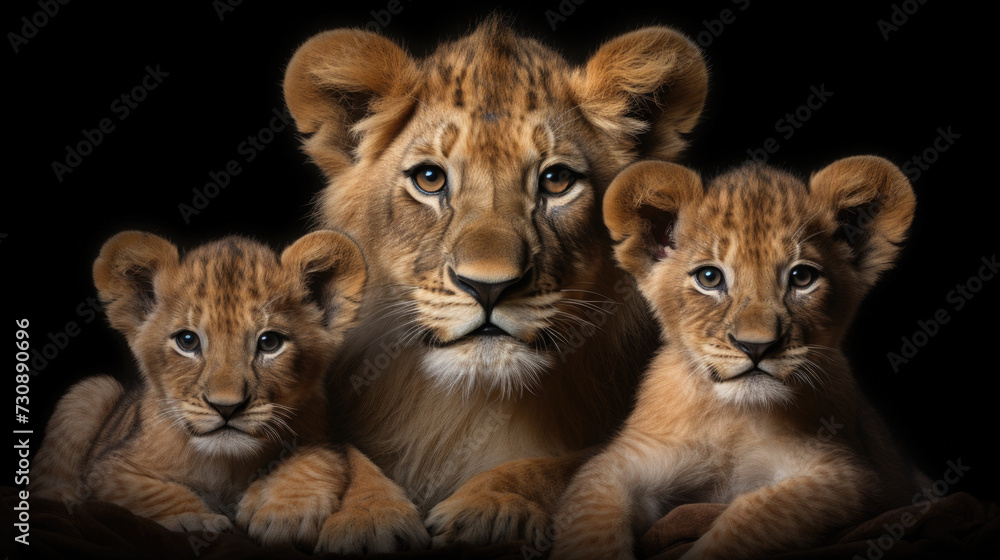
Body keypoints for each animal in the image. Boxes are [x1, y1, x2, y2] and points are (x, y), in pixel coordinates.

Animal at [282, 16, 708, 545]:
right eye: (429, 178)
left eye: (556, 180)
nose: (489, 286)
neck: (474, 405)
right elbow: (345, 455)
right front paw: (367, 517)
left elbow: (571, 466)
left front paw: (494, 505)